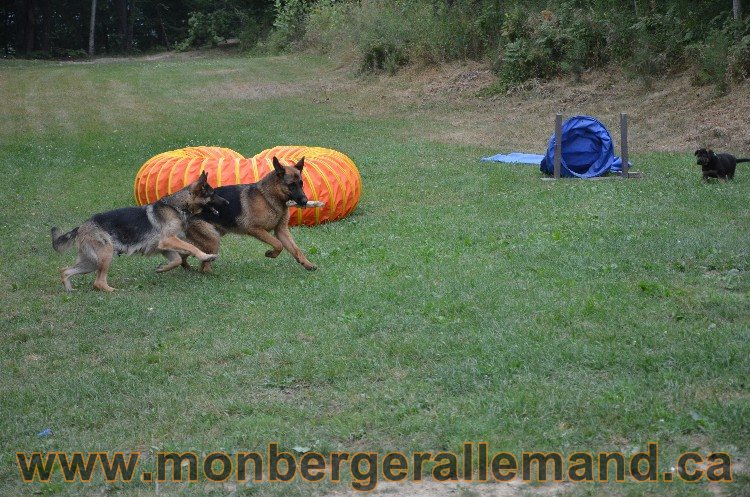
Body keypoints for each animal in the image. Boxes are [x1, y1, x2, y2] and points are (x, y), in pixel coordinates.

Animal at [51, 171, 228, 290]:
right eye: (213, 194)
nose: (227, 203)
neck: (177, 206)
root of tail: (81, 226)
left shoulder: (164, 247)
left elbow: (177, 260)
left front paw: (162, 268)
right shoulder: (168, 239)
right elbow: (191, 247)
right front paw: (206, 256)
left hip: (91, 262)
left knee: (65, 270)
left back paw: (69, 290)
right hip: (105, 255)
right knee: (98, 282)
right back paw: (112, 290)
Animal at [184, 155, 324, 272]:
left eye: (301, 183)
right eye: (291, 185)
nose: (305, 201)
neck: (269, 197)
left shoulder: (282, 231)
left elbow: (296, 249)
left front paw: (307, 263)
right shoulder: (255, 229)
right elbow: (278, 244)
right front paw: (271, 254)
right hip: (213, 239)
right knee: (204, 265)